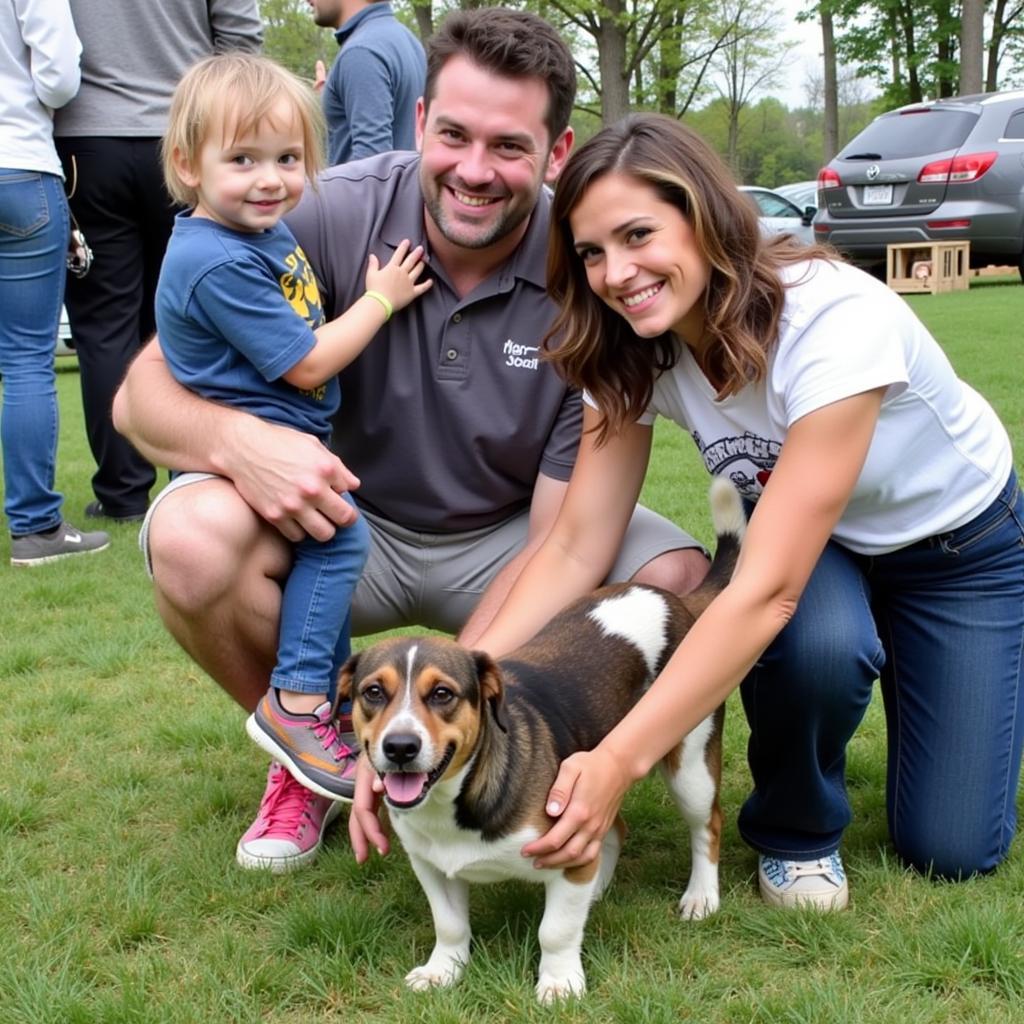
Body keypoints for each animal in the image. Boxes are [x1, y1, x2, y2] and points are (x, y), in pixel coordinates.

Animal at [339, 483, 749, 1003]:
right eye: (373, 692)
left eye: (443, 694)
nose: (400, 748)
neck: (457, 800)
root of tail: (675, 600)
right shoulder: (431, 865)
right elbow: (449, 925)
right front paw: (444, 970)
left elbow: (554, 930)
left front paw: (559, 981)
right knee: (614, 829)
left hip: (689, 762)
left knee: (706, 824)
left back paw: (701, 895)